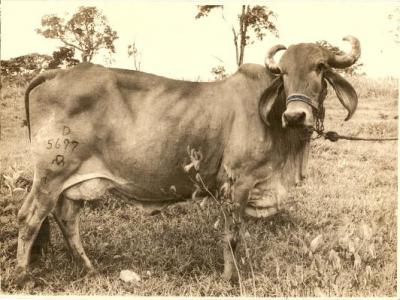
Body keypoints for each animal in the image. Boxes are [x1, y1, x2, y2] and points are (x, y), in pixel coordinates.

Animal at [15, 36, 360, 284]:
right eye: (284, 73)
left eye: (320, 67)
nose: (295, 115)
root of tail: (57, 72)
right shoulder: (238, 182)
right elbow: (233, 234)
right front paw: (232, 279)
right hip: (50, 174)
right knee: (29, 218)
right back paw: (24, 275)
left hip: (72, 182)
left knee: (66, 218)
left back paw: (88, 269)